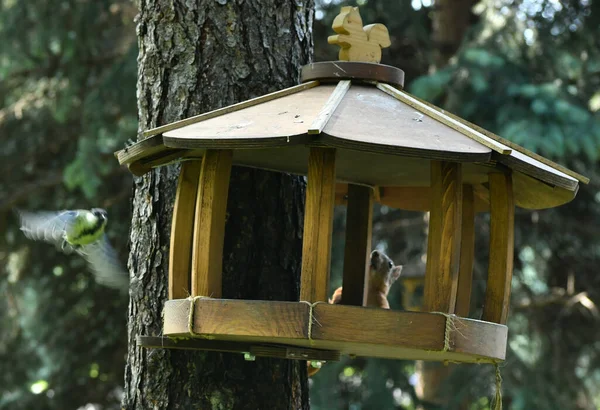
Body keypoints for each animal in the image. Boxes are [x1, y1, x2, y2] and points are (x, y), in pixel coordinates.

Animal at [308, 248, 400, 376]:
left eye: (390, 264)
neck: (369, 287)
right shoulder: (340, 290)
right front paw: (336, 301)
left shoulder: (382, 299)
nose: (375, 253)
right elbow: (337, 295)